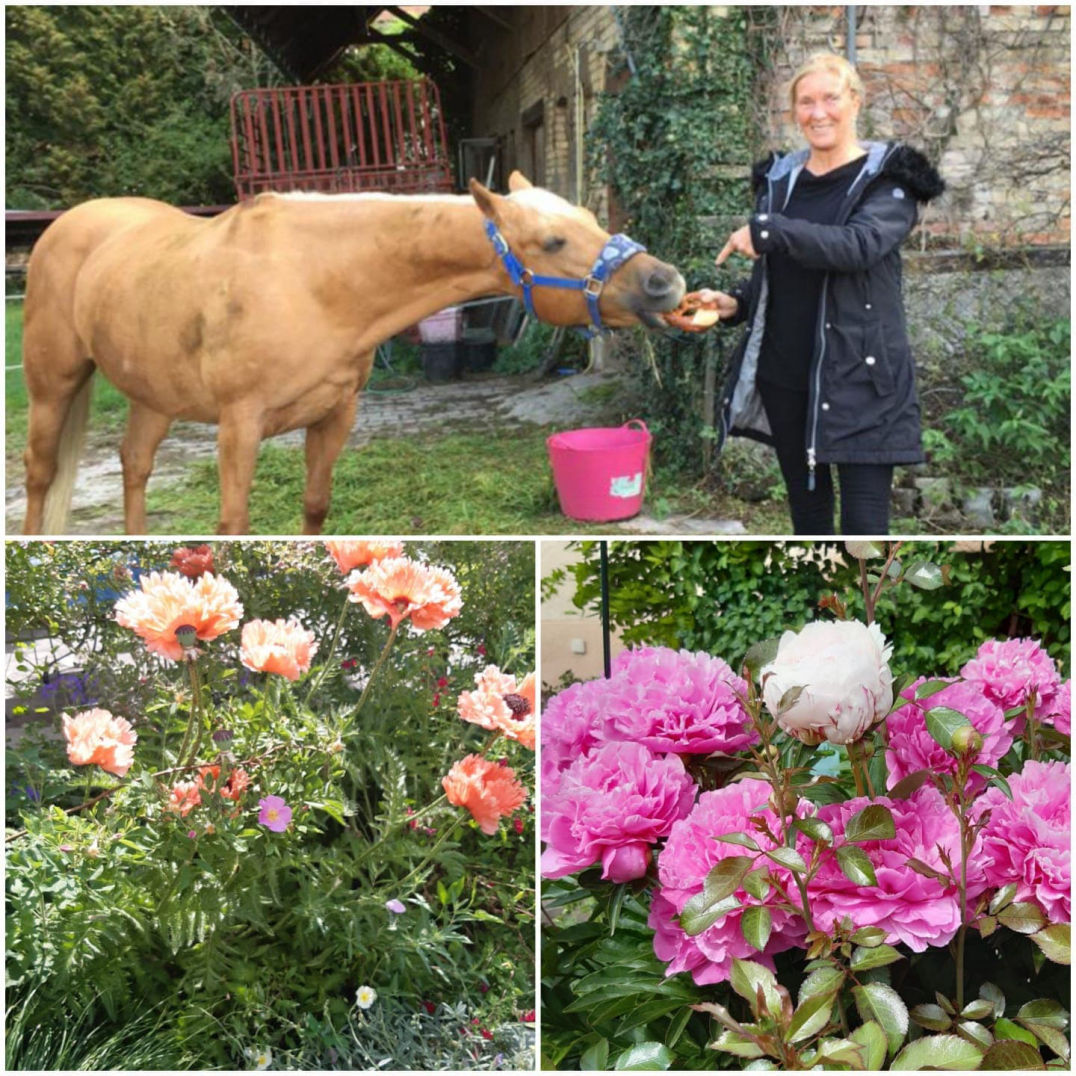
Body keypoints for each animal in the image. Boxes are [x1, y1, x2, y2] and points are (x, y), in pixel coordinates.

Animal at [23, 171, 680, 533]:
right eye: (553, 240)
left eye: (592, 218)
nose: (665, 282)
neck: (312, 279)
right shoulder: (240, 425)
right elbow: (233, 524)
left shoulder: (336, 414)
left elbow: (316, 506)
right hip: (52, 386)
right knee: (40, 474)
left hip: (153, 394)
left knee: (135, 464)